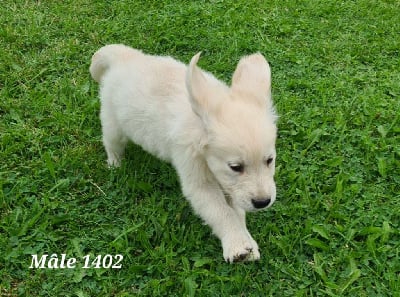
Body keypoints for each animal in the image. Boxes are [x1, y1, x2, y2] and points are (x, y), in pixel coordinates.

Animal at [90, 44, 278, 262]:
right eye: (235, 167)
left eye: (269, 160)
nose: (262, 202)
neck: (197, 127)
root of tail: (125, 55)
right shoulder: (195, 174)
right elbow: (221, 212)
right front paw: (237, 245)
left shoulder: (231, 187)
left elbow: (237, 211)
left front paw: (247, 243)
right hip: (113, 122)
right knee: (111, 144)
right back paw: (115, 165)